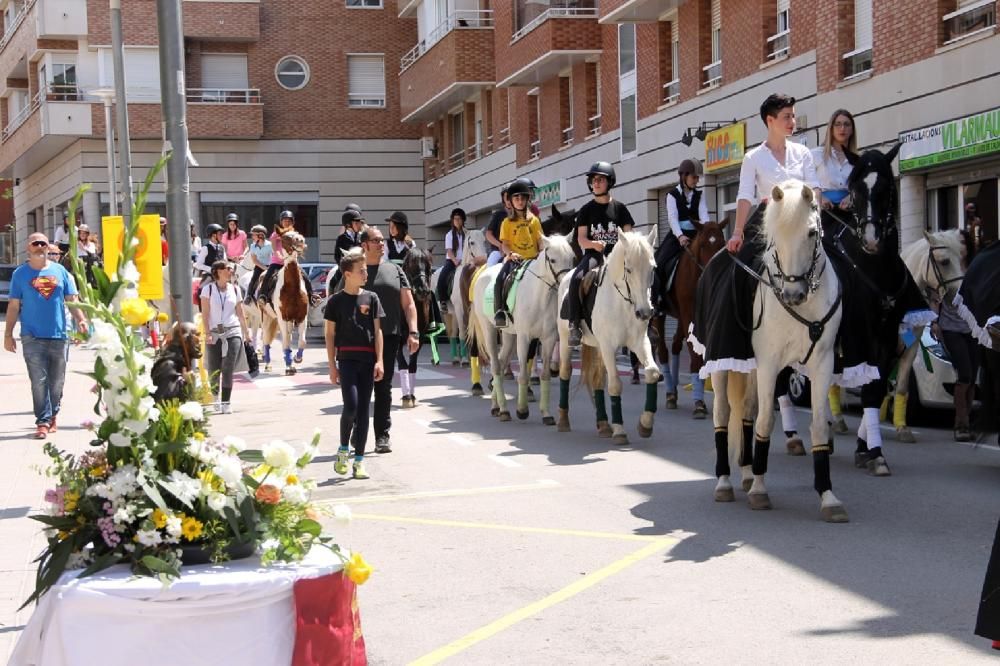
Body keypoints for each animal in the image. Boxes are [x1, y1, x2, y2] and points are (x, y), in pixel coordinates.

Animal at [468, 233, 580, 420]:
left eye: (572, 258)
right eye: (552, 259)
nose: (565, 283)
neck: (540, 297)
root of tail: (482, 274)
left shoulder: (548, 339)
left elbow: (545, 375)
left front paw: (546, 413)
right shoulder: (524, 337)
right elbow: (522, 375)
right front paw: (522, 410)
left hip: (508, 335)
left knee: (501, 362)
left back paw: (497, 406)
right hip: (489, 330)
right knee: (496, 366)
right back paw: (503, 409)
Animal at [552, 226, 660, 444]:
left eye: (652, 269)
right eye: (629, 269)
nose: (645, 312)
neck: (623, 303)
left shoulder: (639, 342)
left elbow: (652, 373)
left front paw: (645, 425)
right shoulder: (609, 346)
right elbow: (616, 385)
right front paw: (620, 431)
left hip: (598, 346)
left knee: (597, 378)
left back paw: (603, 425)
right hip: (567, 339)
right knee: (566, 372)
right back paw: (563, 421)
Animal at [648, 220, 728, 412]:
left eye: (722, 243)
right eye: (703, 244)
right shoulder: (688, 314)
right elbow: (694, 353)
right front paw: (699, 402)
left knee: (676, 345)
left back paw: (674, 391)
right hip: (661, 315)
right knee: (663, 350)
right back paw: (670, 392)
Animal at [712, 184, 844, 520]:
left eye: (811, 232)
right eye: (774, 236)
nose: (793, 294)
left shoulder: (822, 363)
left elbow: (819, 424)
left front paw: (828, 496)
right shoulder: (770, 364)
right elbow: (764, 423)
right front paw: (760, 491)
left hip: (751, 370)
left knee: (745, 411)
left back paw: (747, 474)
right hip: (722, 365)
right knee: (723, 414)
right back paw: (725, 482)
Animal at [896, 230, 964, 440]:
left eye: (961, 257)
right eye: (944, 261)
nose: (959, 296)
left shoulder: (910, 346)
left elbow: (901, 385)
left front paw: (902, 428)